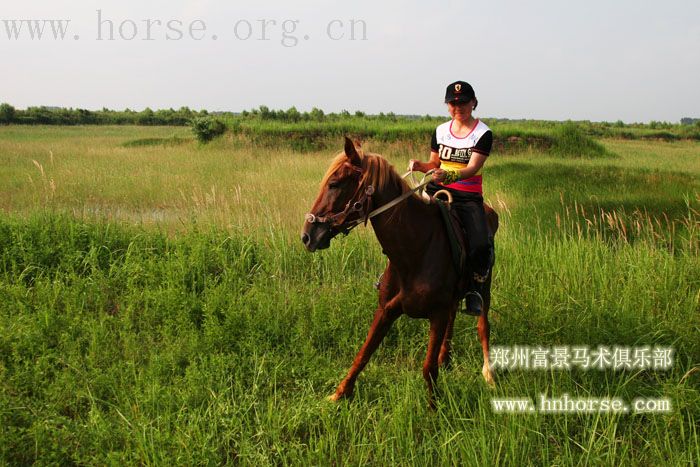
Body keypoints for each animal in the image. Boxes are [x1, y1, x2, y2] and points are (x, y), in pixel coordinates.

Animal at [300, 137, 498, 408]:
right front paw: (339, 394)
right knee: (453, 320)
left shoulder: (436, 314)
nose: (307, 236)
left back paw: (489, 374)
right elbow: (363, 353)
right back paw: (445, 358)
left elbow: (427, 368)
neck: (416, 249)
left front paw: (434, 409)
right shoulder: (386, 310)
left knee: (482, 326)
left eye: (334, 184)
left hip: (483, 290)